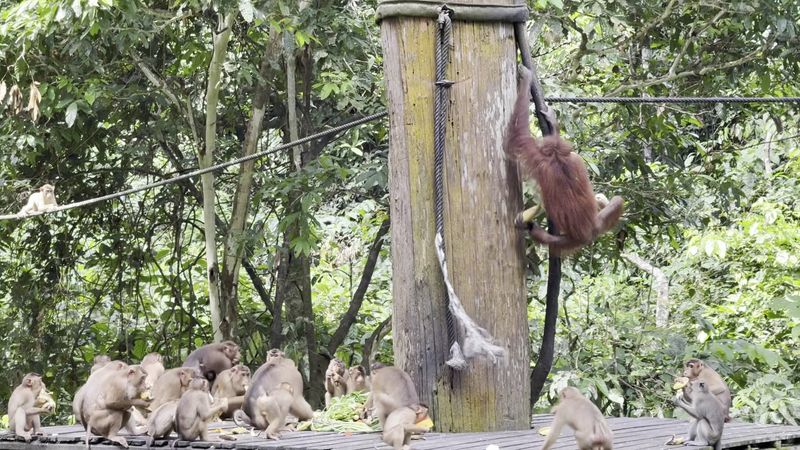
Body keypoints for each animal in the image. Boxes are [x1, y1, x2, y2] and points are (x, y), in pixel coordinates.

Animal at [505, 66, 623, 254]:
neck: (557, 157)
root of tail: (587, 234)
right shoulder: (574, 159)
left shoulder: (538, 157)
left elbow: (517, 136)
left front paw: (526, 79)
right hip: (590, 229)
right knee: (618, 200)